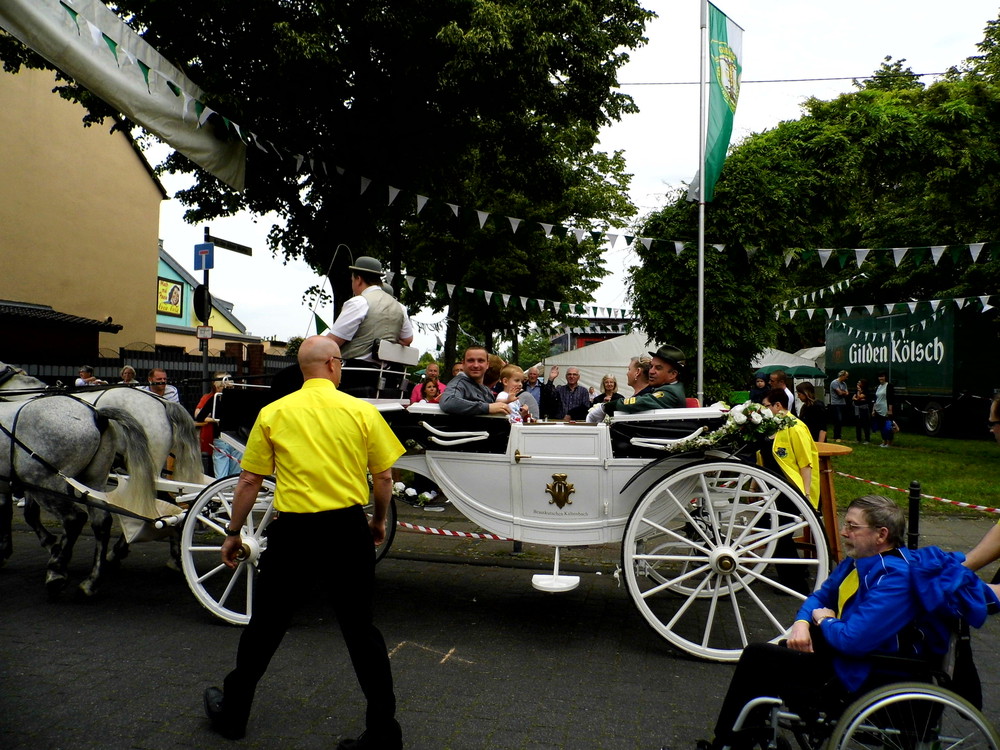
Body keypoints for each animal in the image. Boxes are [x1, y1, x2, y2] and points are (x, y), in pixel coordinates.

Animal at [0, 394, 156, 595]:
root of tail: (95, 414)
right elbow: (8, 512)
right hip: (93, 480)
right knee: (101, 522)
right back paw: (92, 581)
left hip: (45, 483)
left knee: (74, 519)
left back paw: (57, 572)